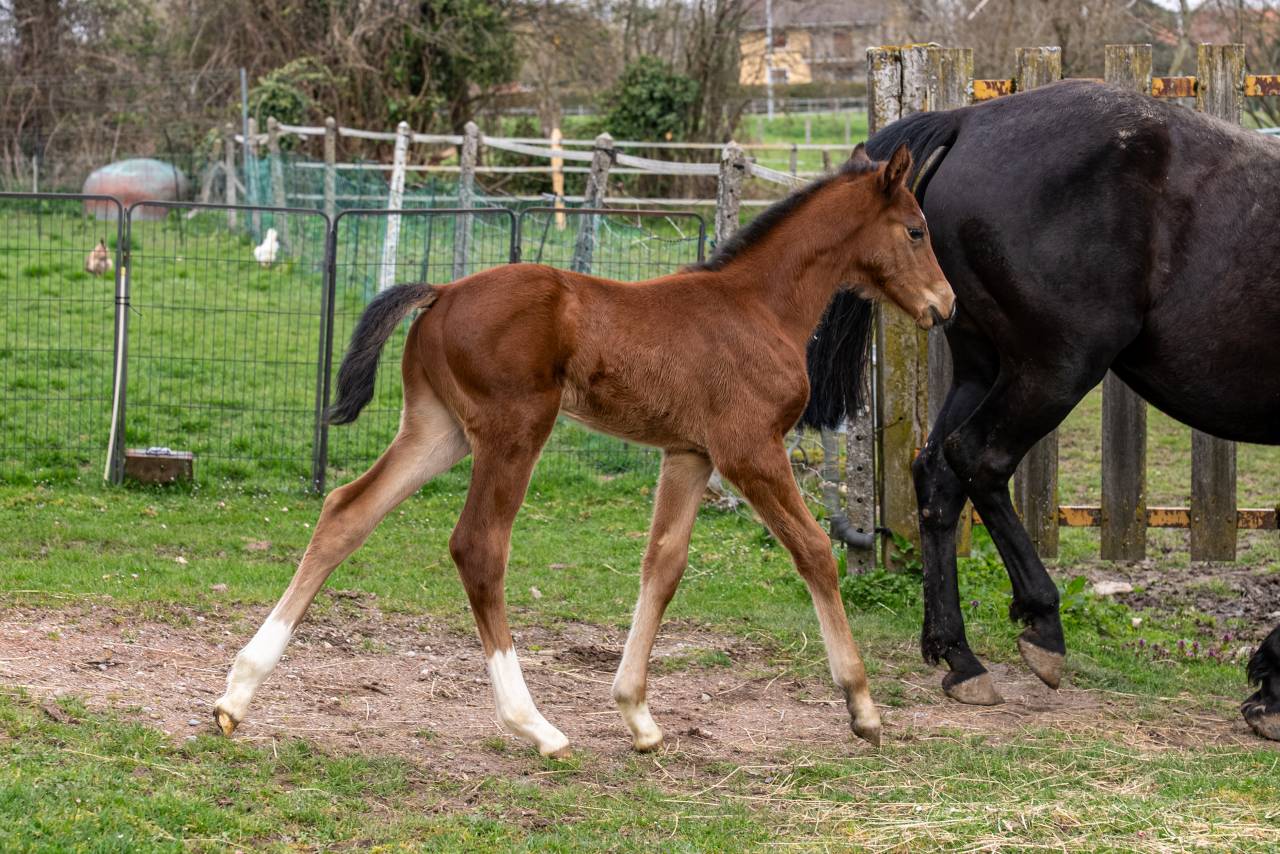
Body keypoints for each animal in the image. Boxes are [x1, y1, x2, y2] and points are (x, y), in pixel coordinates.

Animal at [212, 144, 955, 756]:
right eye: (916, 229)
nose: (943, 304)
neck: (759, 306)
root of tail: (442, 292)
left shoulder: (689, 454)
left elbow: (663, 565)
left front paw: (638, 715)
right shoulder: (749, 450)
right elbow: (814, 552)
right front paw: (862, 709)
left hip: (437, 430)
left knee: (347, 511)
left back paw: (237, 694)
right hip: (515, 431)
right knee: (478, 546)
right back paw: (535, 726)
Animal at [802, 79, 1280, 740]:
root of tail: (968, 120)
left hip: (984, 365)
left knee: (938, 472)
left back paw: (959, 656)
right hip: (1056, 367)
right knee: (978, 458)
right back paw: (1041, 625)